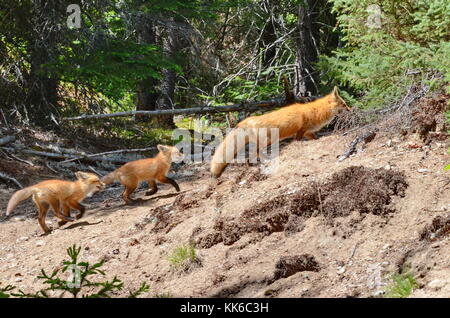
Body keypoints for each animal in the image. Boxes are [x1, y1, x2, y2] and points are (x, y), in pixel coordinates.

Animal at [211, 85, 352, 178]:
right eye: (344, 104)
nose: (351, 110)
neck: (317, 111)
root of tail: (246, 120)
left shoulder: (308, 132)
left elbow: (315, 138)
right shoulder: (300, 130)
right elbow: (297, 140)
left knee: (249, 158)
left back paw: (252, 166)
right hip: (267, 141)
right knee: (255, 153)